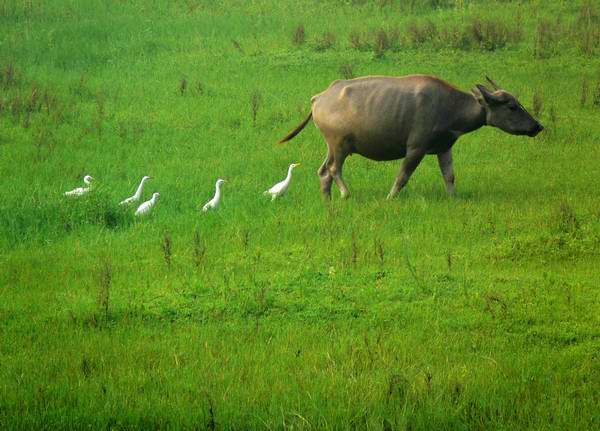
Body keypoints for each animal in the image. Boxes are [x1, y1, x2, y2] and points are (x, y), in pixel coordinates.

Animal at [278, 75, 544, 200]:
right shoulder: (416, 148)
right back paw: (345, 194)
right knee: (334, 169)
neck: (449, 105)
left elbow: (449, 176)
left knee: (323, 171)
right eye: (512, 106)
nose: (537, 126)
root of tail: (319, 98)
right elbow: (402, 176)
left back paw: (328, 199)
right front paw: (389, 198)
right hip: (340, 144)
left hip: (332, 146)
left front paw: (454, 198)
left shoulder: (445, 148)